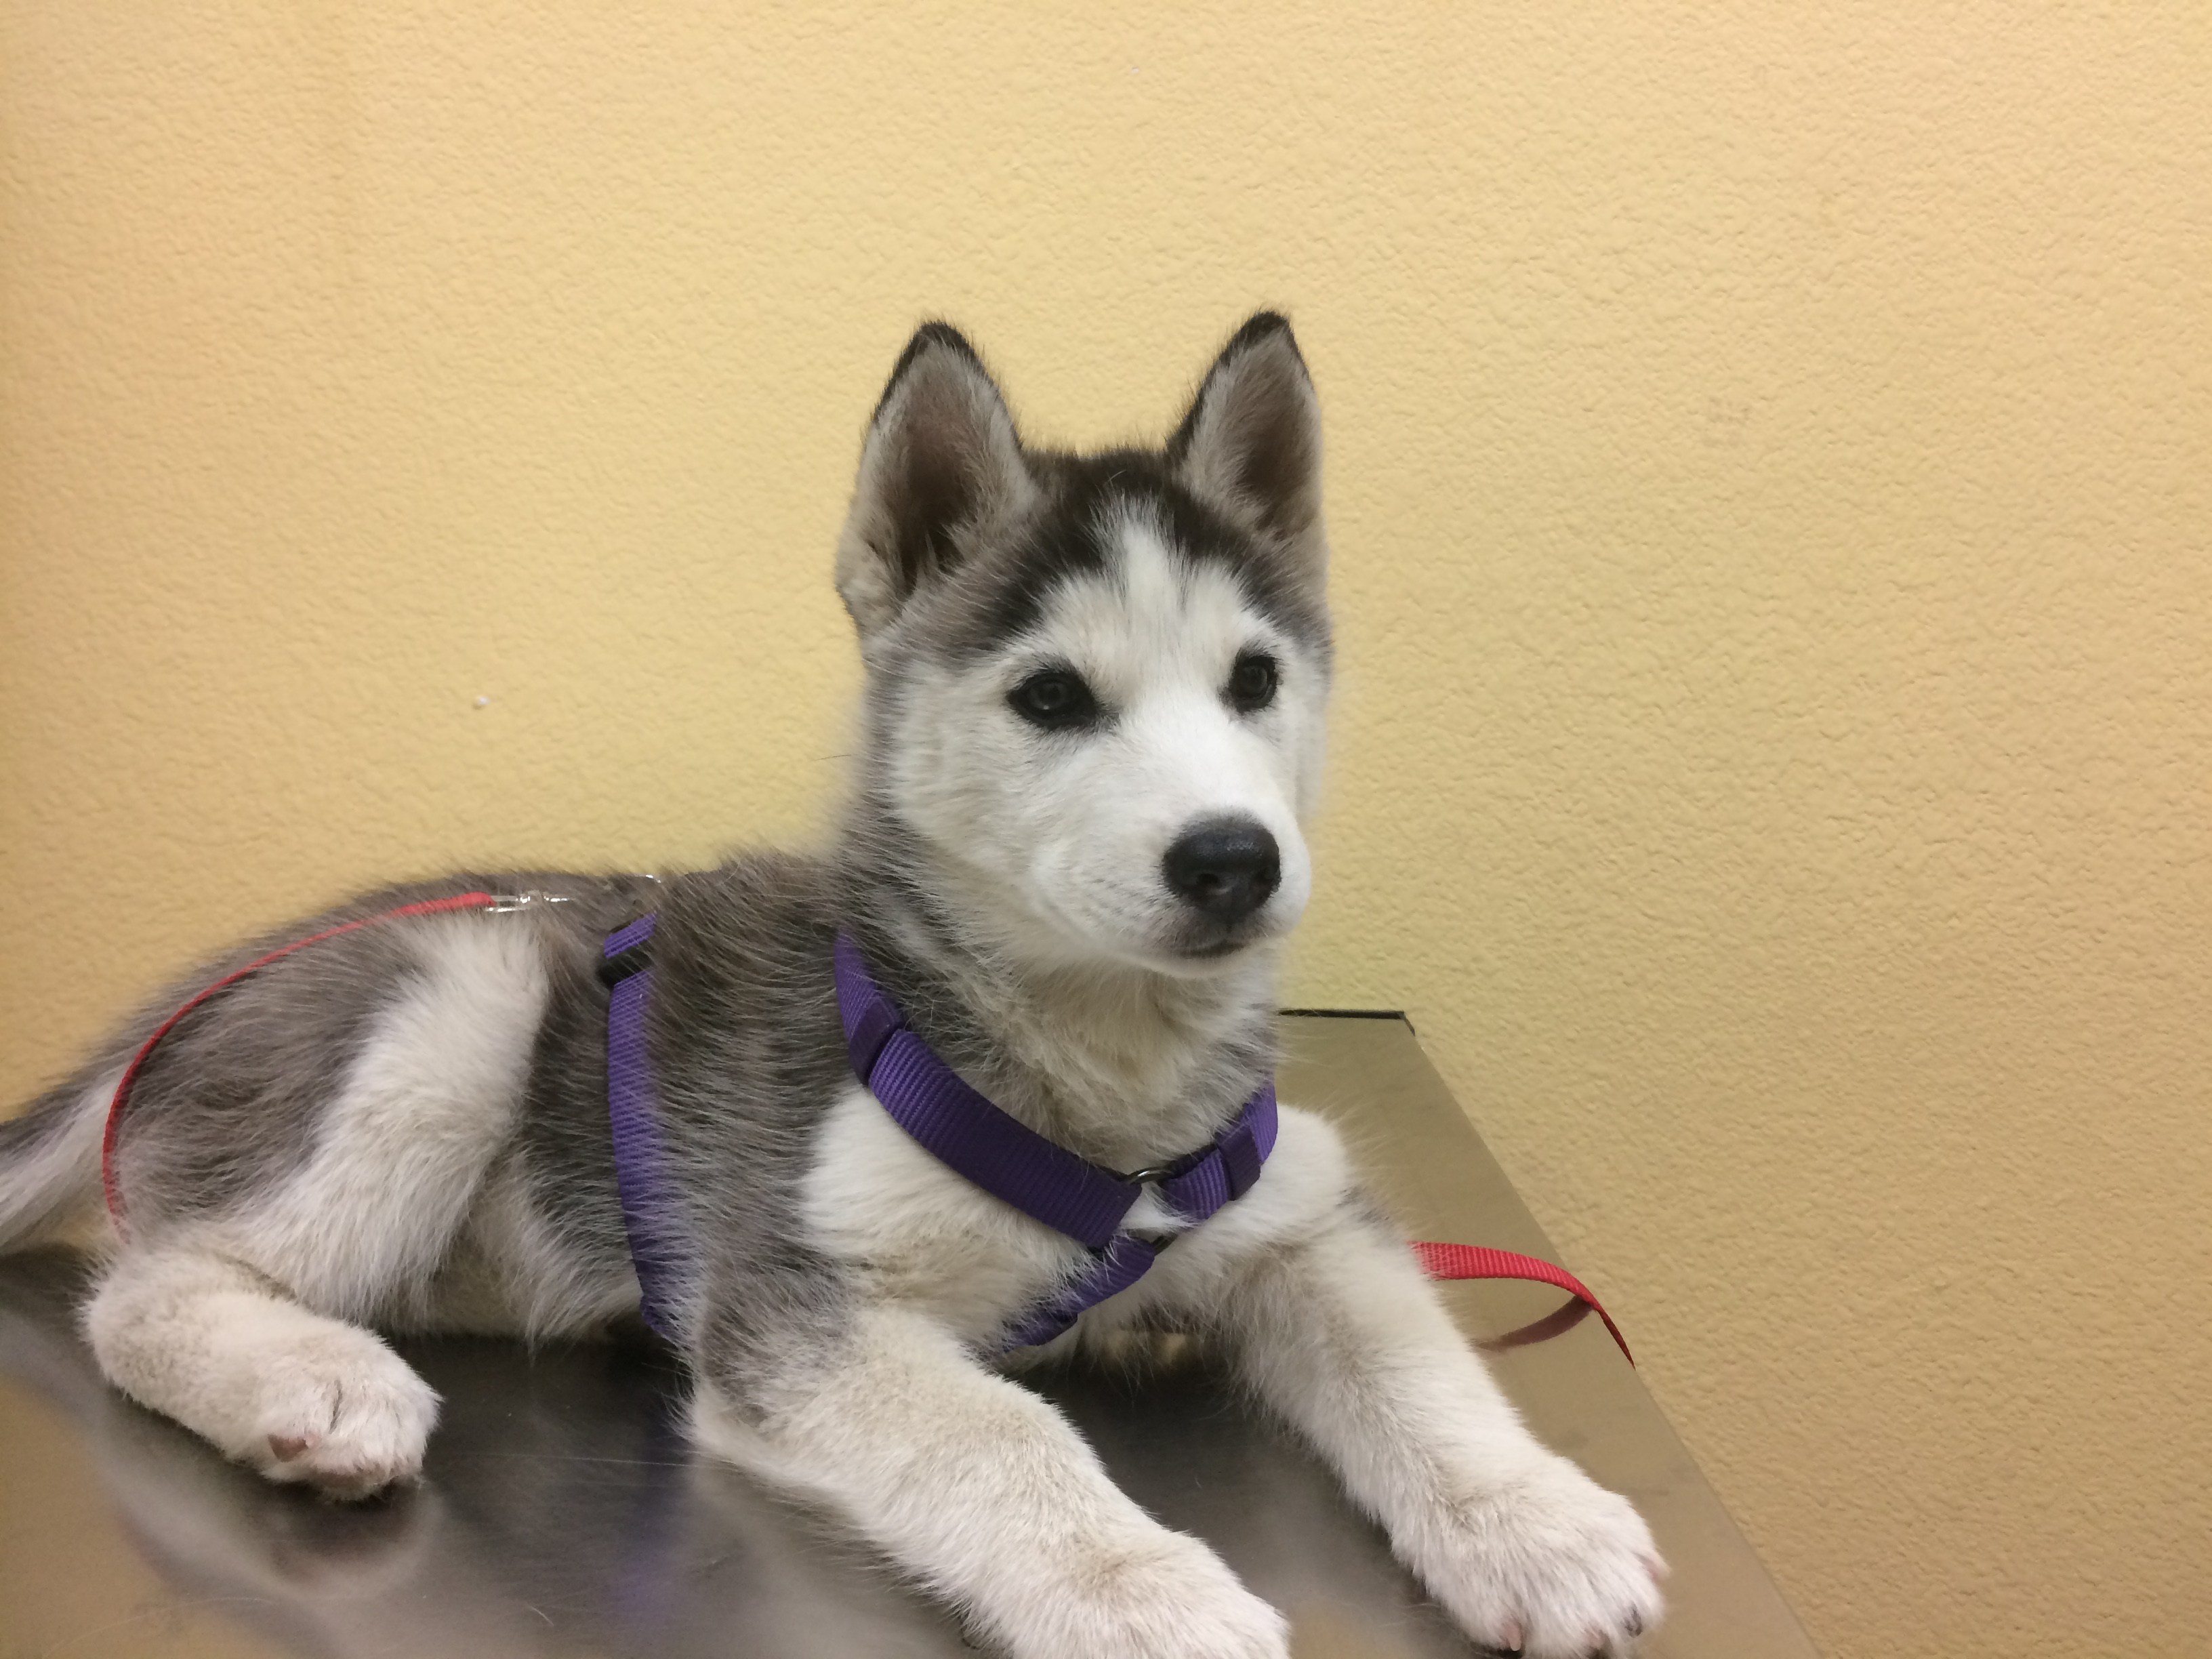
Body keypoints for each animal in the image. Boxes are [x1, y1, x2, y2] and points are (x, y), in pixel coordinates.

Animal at [0, 314, 1663, 1659]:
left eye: (1255, 679)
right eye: (1050, 697)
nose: (1231, 859)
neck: (1096, 1082)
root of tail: (231, 969)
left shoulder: (1292, 1201)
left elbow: (1416, 1357)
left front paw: (1536, 1520)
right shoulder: (791, 1303)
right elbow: (1002, 1430)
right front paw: (1141, 1590)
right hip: (460, 1002)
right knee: (145, 1289)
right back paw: (311, 1382)